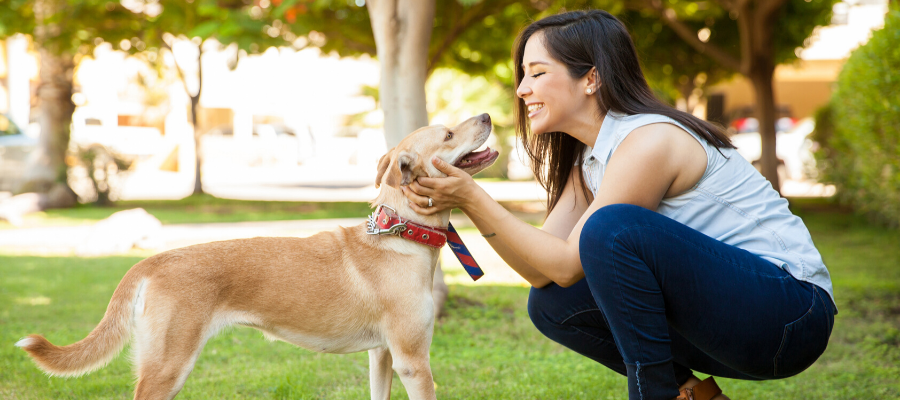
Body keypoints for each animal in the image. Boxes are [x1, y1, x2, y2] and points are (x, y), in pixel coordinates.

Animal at [15, 113, 500, 400]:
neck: (400, 232)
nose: (488, 115)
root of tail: (151, 260)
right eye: (449, 134)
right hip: (168, 364)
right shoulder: (413, 362)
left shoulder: (382, 356)